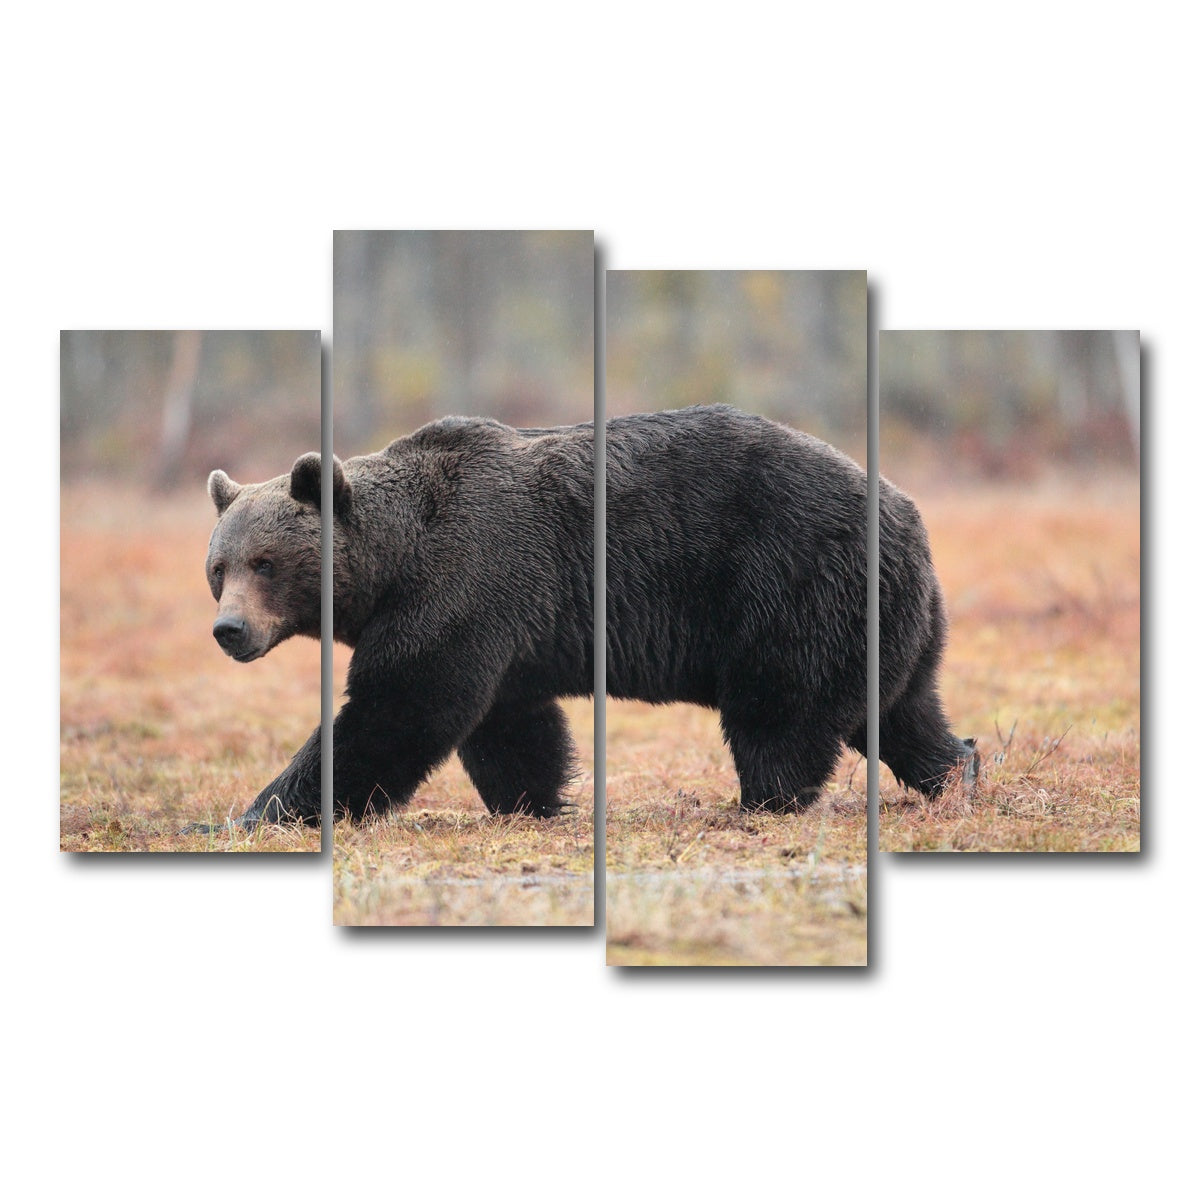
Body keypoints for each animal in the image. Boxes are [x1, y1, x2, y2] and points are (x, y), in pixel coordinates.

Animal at [187, 416, 594, 832]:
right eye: (219, 568)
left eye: (264, 563)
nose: (229, 629)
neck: (394, 561)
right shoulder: (504, 626)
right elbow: (513, 727)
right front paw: (533, 801)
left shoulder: (466, 582)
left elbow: (397, 707)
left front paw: (241, 818)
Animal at [606, 405, 977, 808]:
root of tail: (906, 513)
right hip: (898, 625)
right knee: (905, 713)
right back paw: (957, 773)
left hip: (794, 594)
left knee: (779, 709)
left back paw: (766, 800)